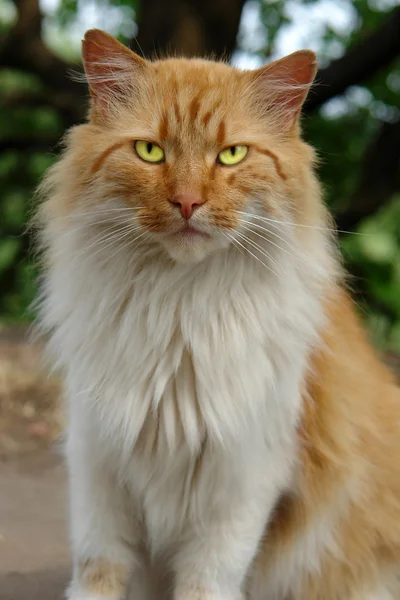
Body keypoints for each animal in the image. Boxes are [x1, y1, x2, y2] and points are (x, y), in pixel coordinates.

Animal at [36, 28, 400, 600]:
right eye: (150, 151)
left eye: (231, 155)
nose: (188, 203)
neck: (178, 306)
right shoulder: (98, 462)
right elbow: (98, 572)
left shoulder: (243, 479)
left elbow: (206, 581)